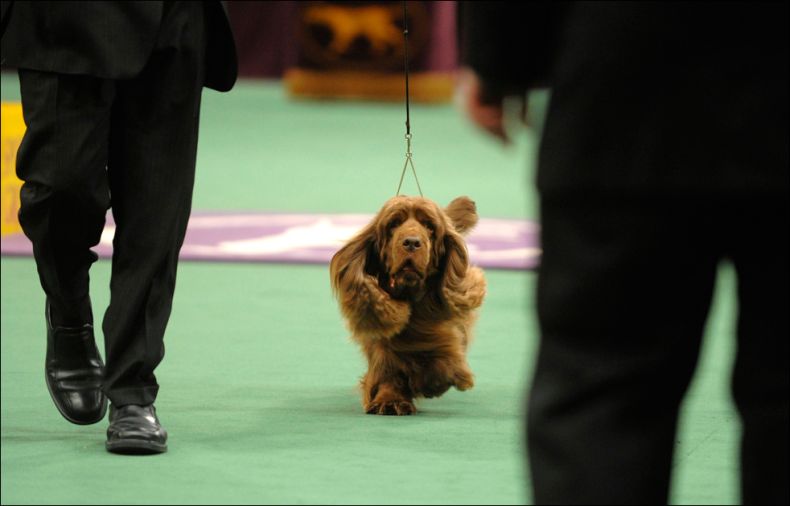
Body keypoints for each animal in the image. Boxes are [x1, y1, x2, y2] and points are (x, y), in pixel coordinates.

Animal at [332, 196, 486, 414]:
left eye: (429, 226)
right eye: (394, 224)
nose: (412, 242)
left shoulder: (446, 334)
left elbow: (444, 359)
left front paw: (431, 382)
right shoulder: (382, 340)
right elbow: (388, 368)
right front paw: (390, 400)